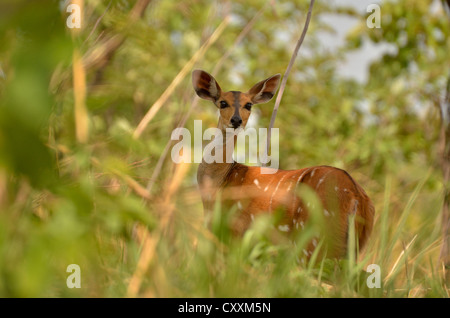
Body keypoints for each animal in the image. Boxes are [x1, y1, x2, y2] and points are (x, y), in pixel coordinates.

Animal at [192, 69, 374, 258]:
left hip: (314, 239)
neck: (220, 180)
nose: (236, 120)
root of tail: (356, 198)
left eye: (248, 105)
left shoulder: (233, 232)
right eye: (222, 102)